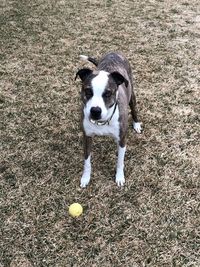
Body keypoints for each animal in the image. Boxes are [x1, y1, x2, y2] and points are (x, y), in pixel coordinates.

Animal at [75, 51, 142, 187]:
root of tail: (114, 52)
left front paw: (119, 177)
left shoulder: (122, 139)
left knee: (134, 109)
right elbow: (87, 161)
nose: (95, 111)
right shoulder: (87, 137)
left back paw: (137, 123)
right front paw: (85, 178)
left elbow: (120, 161)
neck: (102, 122)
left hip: (131, 93)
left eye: (107, 94)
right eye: (88, 91)